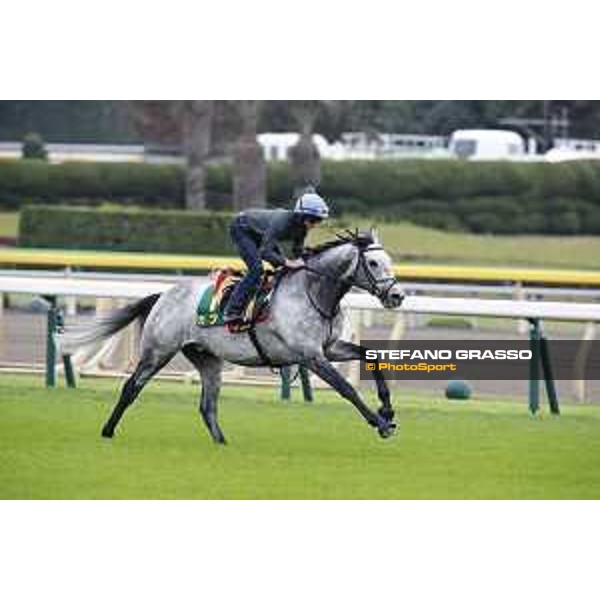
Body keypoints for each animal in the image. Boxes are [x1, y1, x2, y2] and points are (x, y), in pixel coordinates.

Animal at [63, 229, 406, 440]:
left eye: (390, 261)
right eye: (373, 262)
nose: (397, 296)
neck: (313, 291)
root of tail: (163, 294)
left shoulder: (330, 347)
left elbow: (371, 356)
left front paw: (387, 409)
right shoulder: (310, 355)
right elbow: (346, 389)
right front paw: (380, 423)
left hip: (207, 359)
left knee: (207, 406)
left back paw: (223, 444)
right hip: (157, 351)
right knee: (131, 388)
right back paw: (107, 431)